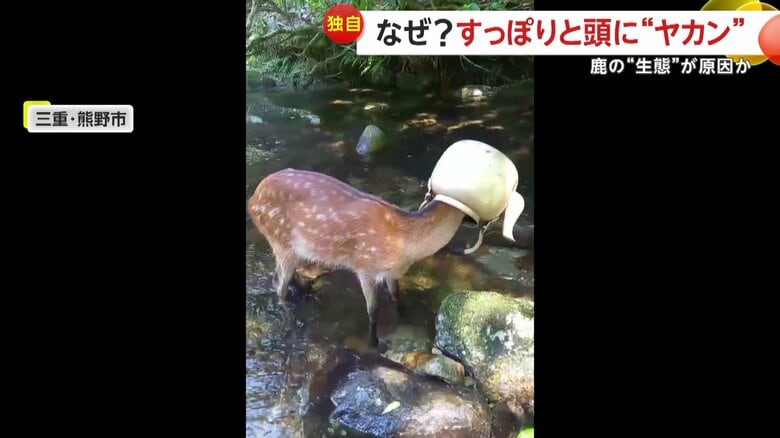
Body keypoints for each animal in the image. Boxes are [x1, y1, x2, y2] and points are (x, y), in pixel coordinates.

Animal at [247, 168, 467, 348]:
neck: (403, 246)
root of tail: (253, 199)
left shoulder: (392, 273)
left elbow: (395, 295)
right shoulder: (365, 266)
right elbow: (373, 310)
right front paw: (375, 343)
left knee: (278, 278)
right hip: (281, 241)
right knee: (280, 286)